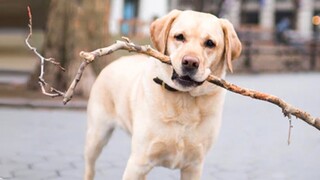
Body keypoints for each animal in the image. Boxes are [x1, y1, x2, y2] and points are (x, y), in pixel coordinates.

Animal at [84, 9, 241, 180]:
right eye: (179, 37)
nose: (190, 62)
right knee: (90, 167)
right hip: (97, 136)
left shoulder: (194, 166)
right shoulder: (138, 163)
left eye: (210, 43)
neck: (183, 100)